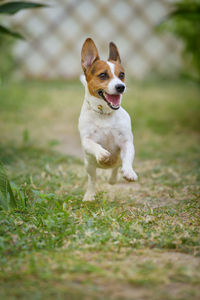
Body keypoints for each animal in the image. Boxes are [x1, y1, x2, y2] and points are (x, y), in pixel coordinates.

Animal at [78, 38, 138, 202]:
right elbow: (92, 144)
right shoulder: (86, 140)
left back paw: (113, 178)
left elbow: (128, 157)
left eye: (122, 74)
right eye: (103, 75)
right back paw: (89, 195)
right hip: (89, 166)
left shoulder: (126, 142)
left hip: (116, 161)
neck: (104, 113)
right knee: (92, 179)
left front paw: (129, 172)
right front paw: (102, 153)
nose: (121, 87)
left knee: (116, 167)